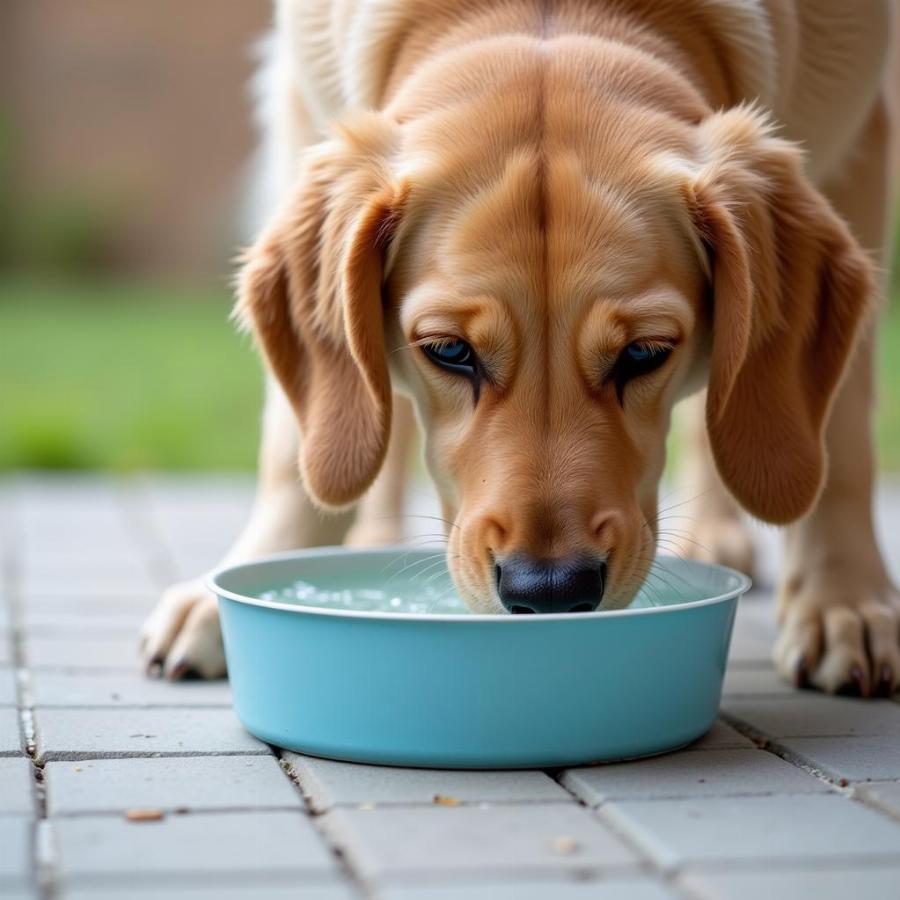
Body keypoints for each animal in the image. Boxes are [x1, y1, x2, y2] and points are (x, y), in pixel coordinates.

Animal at [137, 0, 896, 696]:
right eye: (448, 350)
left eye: (645, 353)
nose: (552, 589)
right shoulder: (300, 96)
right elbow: (296, 448)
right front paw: (232, 586)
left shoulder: (863, 137)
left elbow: (843, 437)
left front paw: (843, 601)